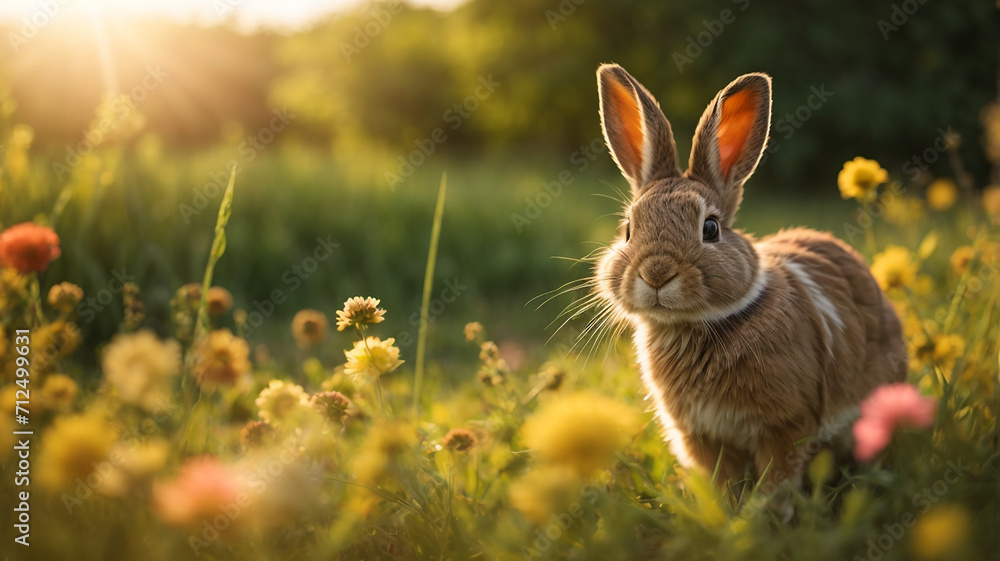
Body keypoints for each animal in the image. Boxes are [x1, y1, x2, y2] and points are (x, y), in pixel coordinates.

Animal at [592, 64, 907, 494]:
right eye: (627, 229)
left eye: (710, 228)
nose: (656, 274)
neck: (695, 325)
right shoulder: (702, 435)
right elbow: (722, 480)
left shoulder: (786, 426)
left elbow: (778, 479)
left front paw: (765, 509)